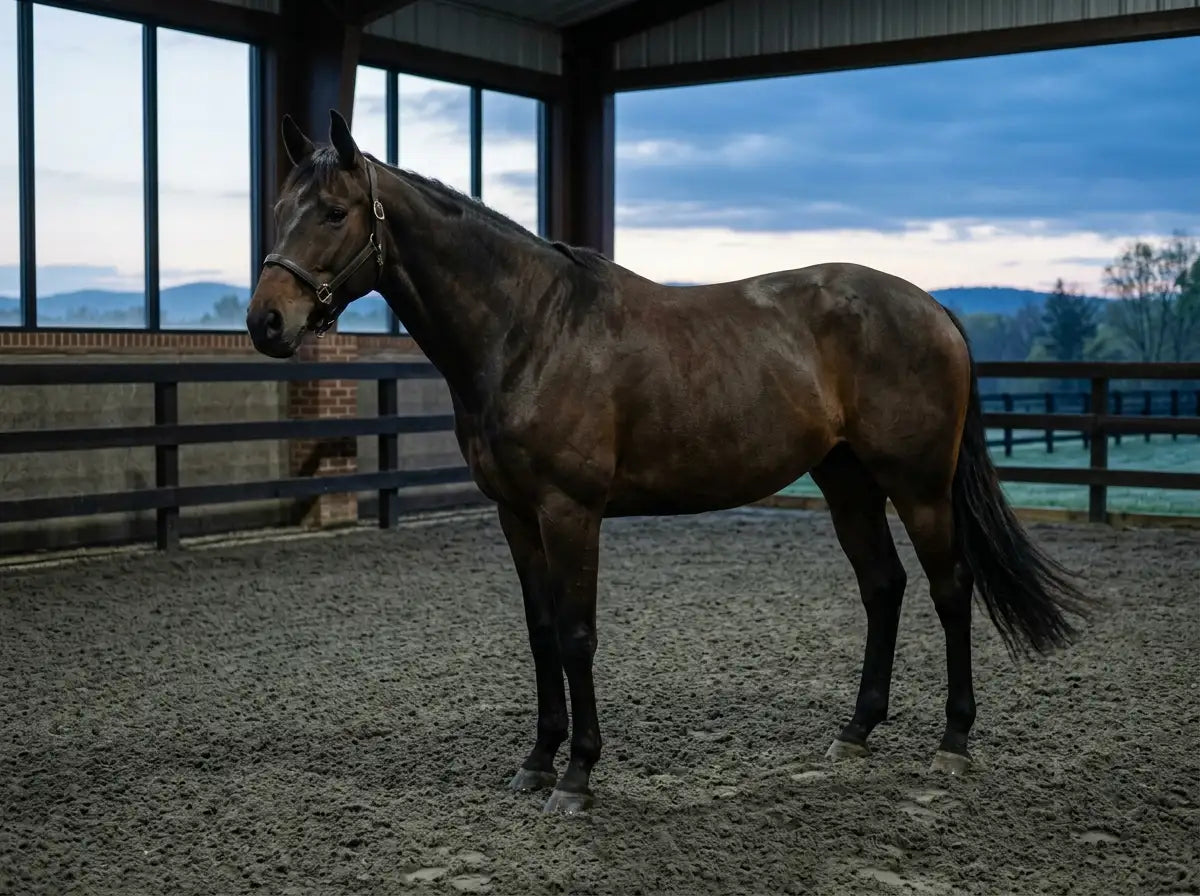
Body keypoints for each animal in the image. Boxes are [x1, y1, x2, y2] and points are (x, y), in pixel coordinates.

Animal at [245, 110, 1094, 816]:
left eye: (334, 212)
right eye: (279, 210)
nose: (266, 322)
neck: (531, 329)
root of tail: (934, 308)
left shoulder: (570, 511)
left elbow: (577, 634)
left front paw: (578, 776)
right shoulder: (516, 514)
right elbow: (541, 632)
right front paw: (537, 761)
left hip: (917, 487)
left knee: (951, 590)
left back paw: (953, 742)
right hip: (847, 482)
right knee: (883, 588)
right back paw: (855, 732)